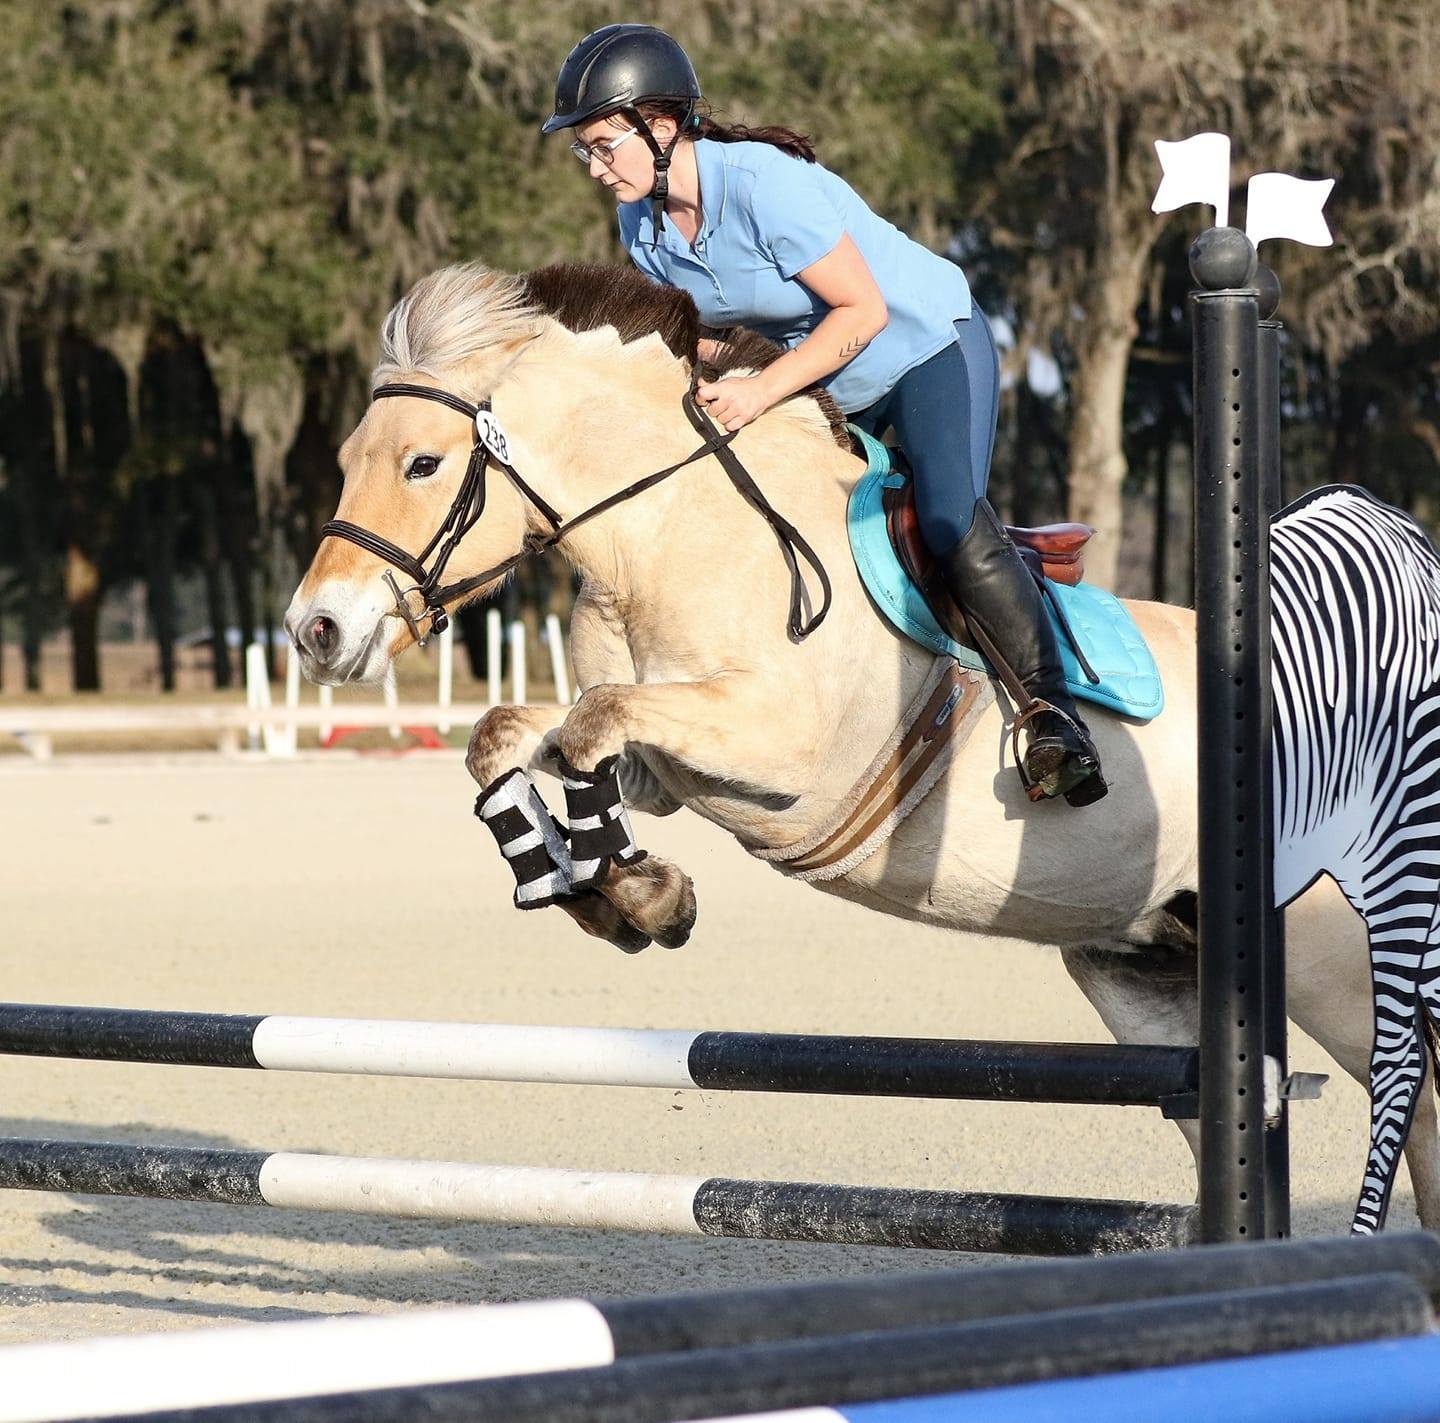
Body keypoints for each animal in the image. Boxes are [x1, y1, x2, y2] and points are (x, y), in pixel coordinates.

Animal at [285, 259, 1440, 1234]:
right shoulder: (672, 765)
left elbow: (590, 724)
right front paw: (611, 890)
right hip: (1147, 969)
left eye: (423, 463)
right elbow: (521, 738)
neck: (671, 534)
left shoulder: (782, 748)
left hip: (1330, 958)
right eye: (345, 461)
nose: (317, 631)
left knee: (1413, 1089)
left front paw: (635, 891)